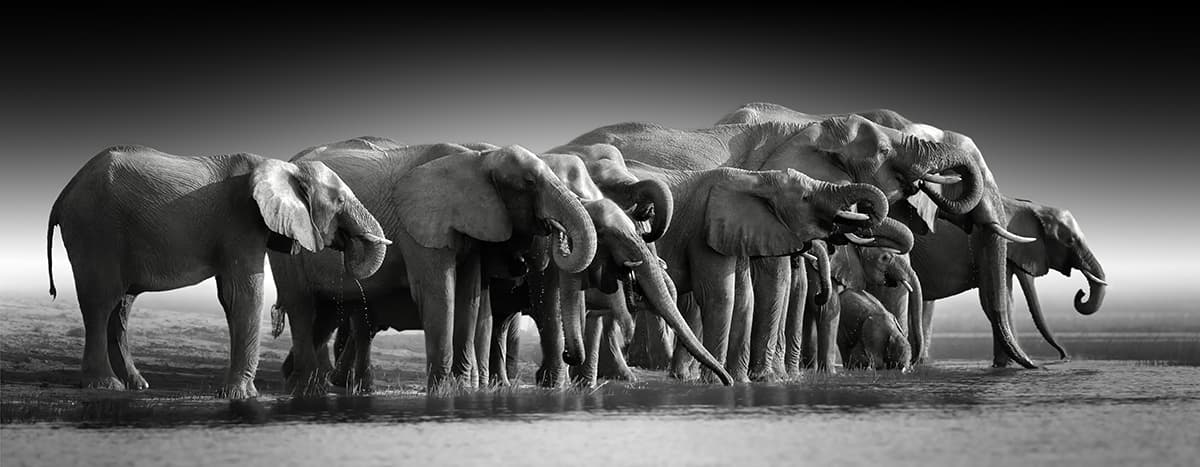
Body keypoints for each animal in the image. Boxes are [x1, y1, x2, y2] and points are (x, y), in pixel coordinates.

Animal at [46, 145, 389, 398]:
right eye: (340, 200)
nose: (348, 245)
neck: (282, 166)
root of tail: (64, 192)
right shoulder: (242, 222)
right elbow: (245, 294)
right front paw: (242, 396)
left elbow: (230, 298)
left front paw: (234, 393)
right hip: (95, 229)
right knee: (101, 301)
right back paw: (105, 386)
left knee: (121, 307)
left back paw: (137, 385)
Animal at [269, 140, 598, 394]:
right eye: (529, 183)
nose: (555, 231)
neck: (477, 159)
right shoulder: (419, 227)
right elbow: (439, 295)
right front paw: (441, 392)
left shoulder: (473, 228)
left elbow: (470, 298)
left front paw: (464, 389)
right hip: (288, 240)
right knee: (302, 307)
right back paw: (306, 387)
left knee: (323, 316)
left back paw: (301, 383)